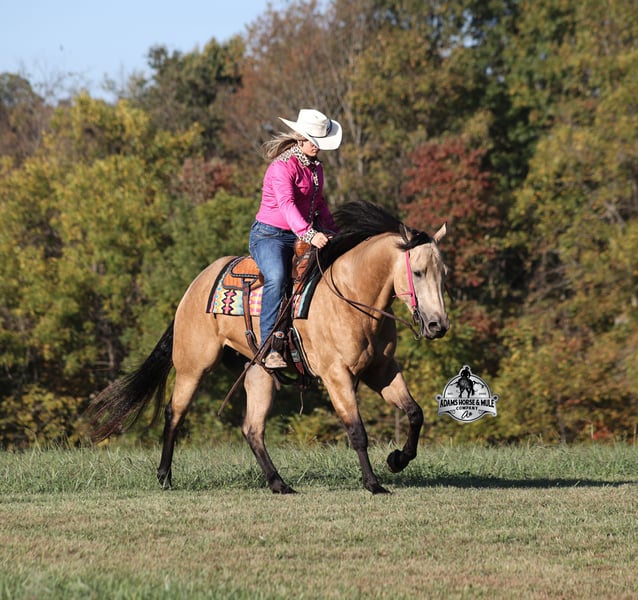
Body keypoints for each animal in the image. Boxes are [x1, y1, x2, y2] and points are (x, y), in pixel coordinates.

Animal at [86, 200, 449, 494]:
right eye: (418, 272)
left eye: (443, 273)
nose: (438, 325)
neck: (351, 296)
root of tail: (196, 284)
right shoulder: (337, 375)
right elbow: (356, 431)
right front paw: (373, 484)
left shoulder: (381, 370)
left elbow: (414, 412)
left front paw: (397, 460)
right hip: (194, 365)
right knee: (175, 412)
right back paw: (164, 476)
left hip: (257, 373)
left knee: (252, 429)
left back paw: (278, 483)